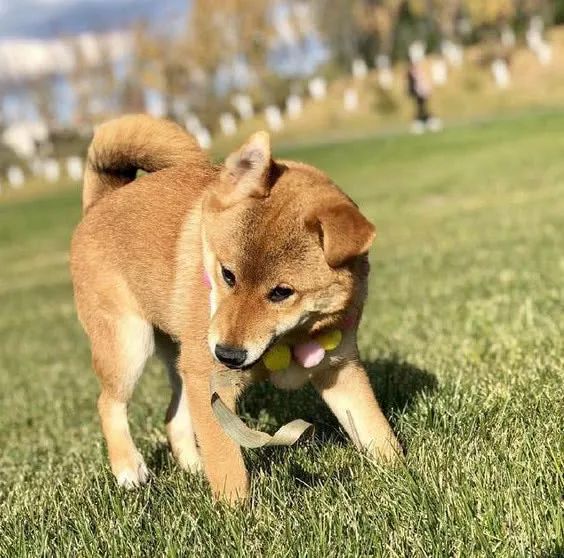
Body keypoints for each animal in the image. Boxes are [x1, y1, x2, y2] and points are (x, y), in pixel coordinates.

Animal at [71, 116, 400, 506]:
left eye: (281, 292)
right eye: (228, 275)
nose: (227, 354)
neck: (287, 342)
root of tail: (101, 202)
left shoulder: (339, 368)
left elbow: (375, 428)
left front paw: (402, 476)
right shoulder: (213, 386)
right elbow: (227, 461)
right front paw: (236, 512)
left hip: (181, 359)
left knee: (173, 413)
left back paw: (193, 466)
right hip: (131, 346)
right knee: (108, 404)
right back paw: (129, 470)